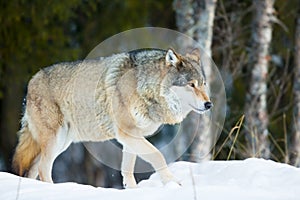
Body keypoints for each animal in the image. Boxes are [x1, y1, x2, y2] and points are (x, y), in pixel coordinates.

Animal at [12, 47, 213, 188]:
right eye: (191, 85)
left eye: (203, 84)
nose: (209, 104)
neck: (144, 86)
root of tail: (32, 80)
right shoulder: (127, 133)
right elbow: (158, 155)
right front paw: (173, 183)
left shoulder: (131, 137)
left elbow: (128, 168)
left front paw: (132, 190)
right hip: (55, 141)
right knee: (43, 168)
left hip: (60, 143)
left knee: (32, 170)